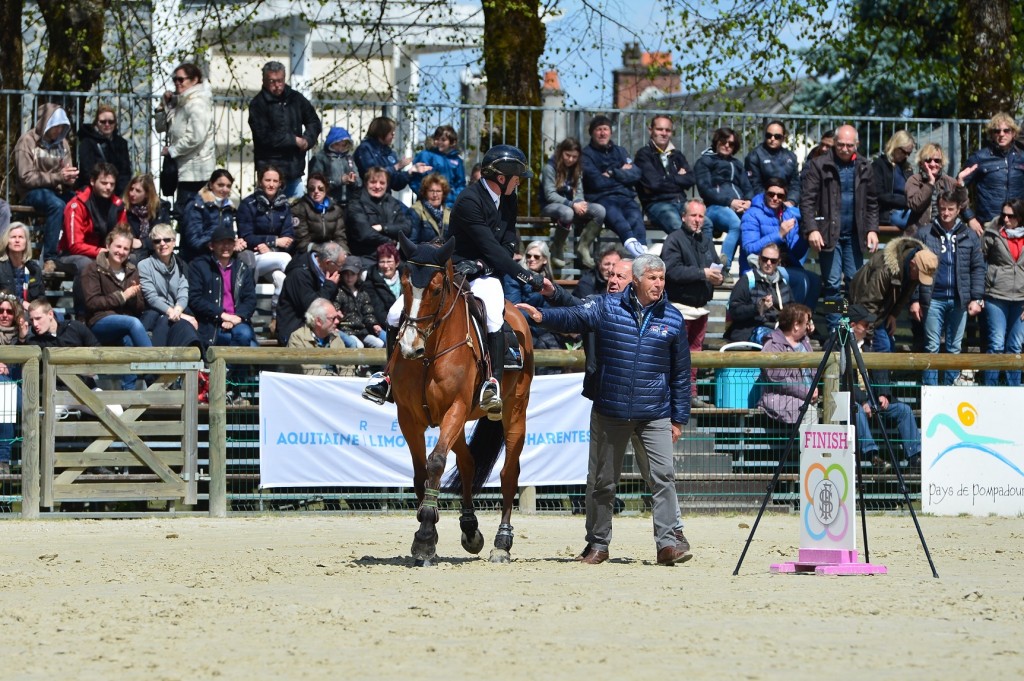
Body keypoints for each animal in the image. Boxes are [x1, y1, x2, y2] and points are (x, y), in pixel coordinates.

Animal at [391, 233, 536, 561]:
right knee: (468, 462)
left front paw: (425, 537)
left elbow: (435, 463)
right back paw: (470, 528)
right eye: (404, 285)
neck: (429, 354)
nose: (409, 347)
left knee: (509, 472)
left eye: (435, 289)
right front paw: (426, 531)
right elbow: (421, 472)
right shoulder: (408, 417)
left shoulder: (454, 408)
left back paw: (502, 542)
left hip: (514, 411)